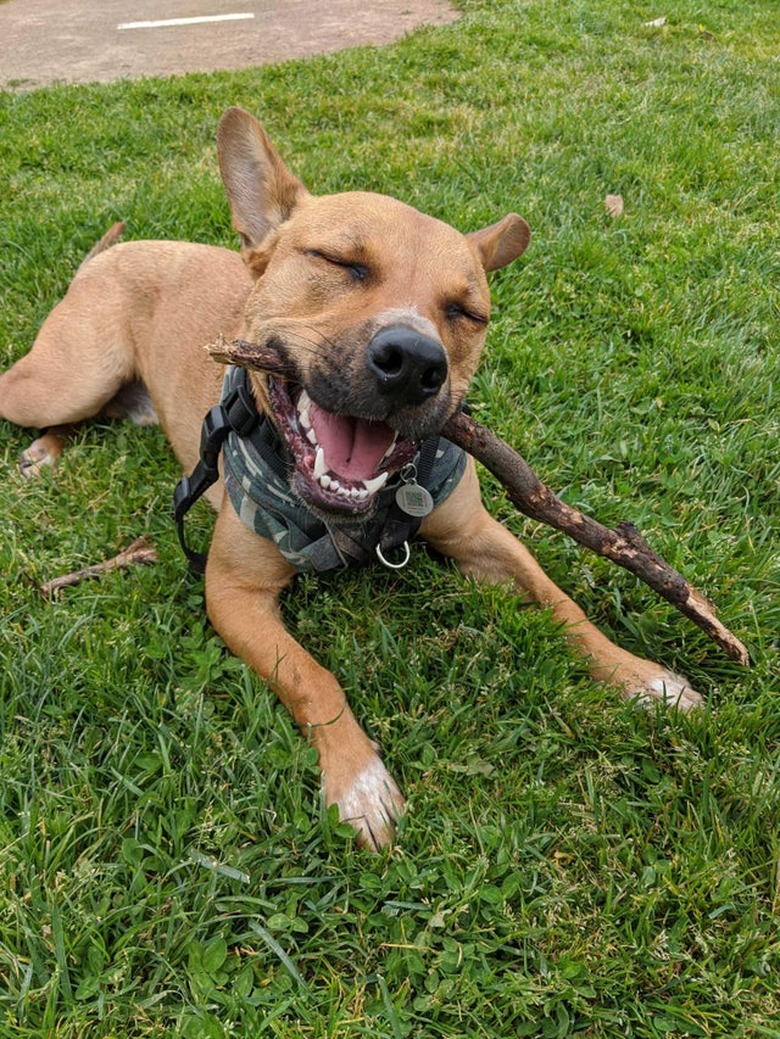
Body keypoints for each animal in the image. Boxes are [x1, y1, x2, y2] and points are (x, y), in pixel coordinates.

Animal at [0, 107, 706, 851]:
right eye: (341, 263)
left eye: (466, 312)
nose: (415, 362)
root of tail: (108, 256)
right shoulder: (233, 593)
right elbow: (313, 678)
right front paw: (358, 778)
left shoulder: (481, 537)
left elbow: (562, 603)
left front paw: (641, 678)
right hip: (63, 379)